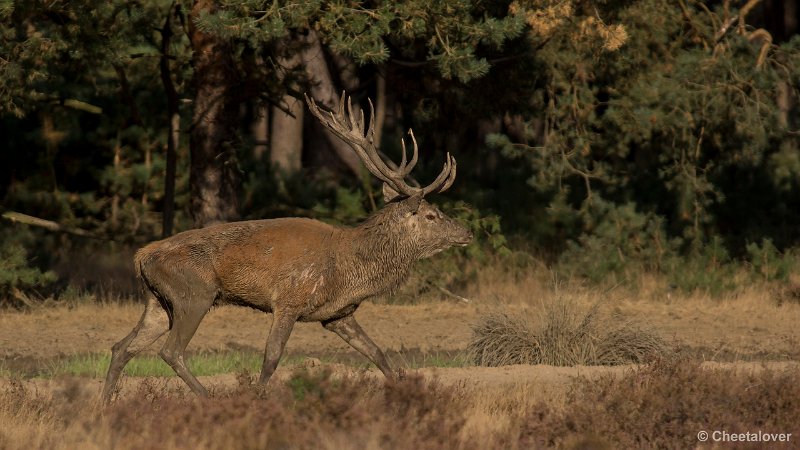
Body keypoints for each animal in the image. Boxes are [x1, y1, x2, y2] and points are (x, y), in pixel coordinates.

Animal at [102, 93, 472, 402]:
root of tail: (140, 257)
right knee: (170, 351)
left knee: (122, 347)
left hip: (158, 303)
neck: (350, 270)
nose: (466, 232)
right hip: (194, 293)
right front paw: (258, 399)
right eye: (432, 215)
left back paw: (104, 406)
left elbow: (379, 353)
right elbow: (271, 358)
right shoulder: (289, 300)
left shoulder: (338, 315)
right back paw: (208, 398)